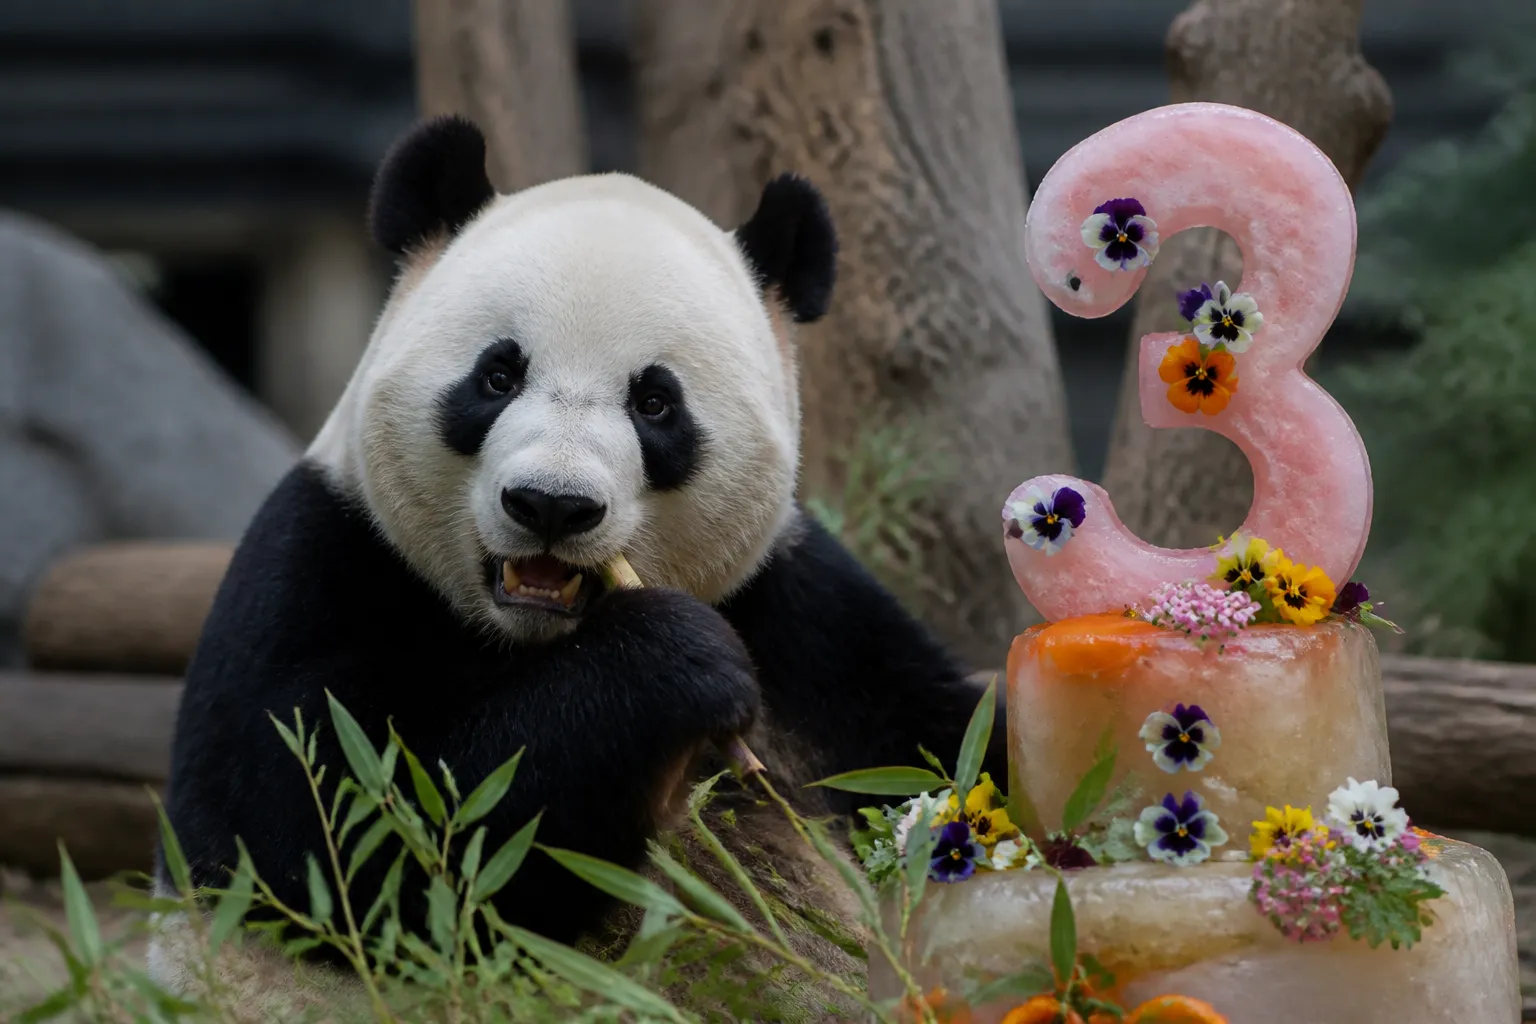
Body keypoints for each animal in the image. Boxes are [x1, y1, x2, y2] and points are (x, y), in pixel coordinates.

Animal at [150, 115, 1006, 1011]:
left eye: (655, 402)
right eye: (498, 374)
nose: (551, 506)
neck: (535, 636)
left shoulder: (803, 616)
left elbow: (950, 735)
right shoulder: (326, 564)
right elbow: (343, 850)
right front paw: (672, 665)